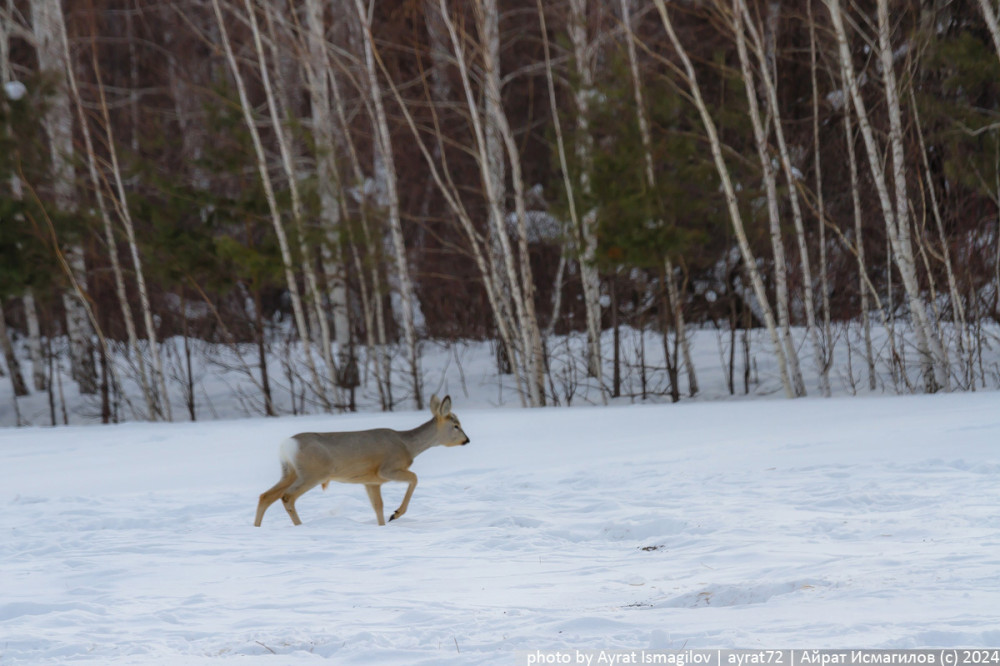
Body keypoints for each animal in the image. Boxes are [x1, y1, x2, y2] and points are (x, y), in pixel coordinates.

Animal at [250, 392, 468, 528]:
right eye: (456, 425)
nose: (467, 440)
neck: (408, 445)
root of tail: (286, 445)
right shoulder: (387, 469)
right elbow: (414, 478)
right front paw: (396, 513)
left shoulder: (371, 481)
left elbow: (377, 506)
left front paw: (384, 523)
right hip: (313, 473)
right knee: (287, 496)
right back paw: (300, 526)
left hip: (290, 472)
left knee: (266, 496)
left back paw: (256, 527)